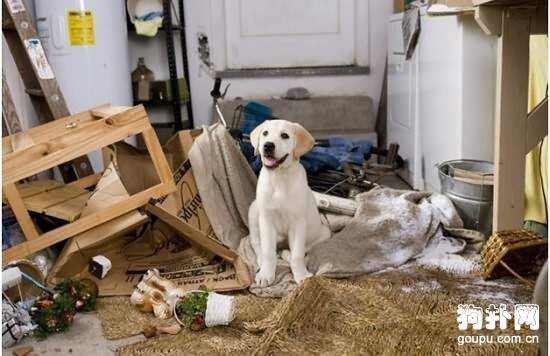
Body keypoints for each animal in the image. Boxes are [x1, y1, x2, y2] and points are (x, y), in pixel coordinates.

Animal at [250, 119, 332, 286]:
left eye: (284, 136)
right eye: (265, 133)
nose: (268, 145)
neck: (279, 177)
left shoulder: (298, 222)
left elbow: (297, 254)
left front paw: (301, 275)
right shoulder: (266, 220)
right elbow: (268, 252)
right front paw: (266, 274)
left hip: (324, 232)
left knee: (302, 249)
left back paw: (286, 253)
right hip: (254, 212)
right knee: (256, 244)